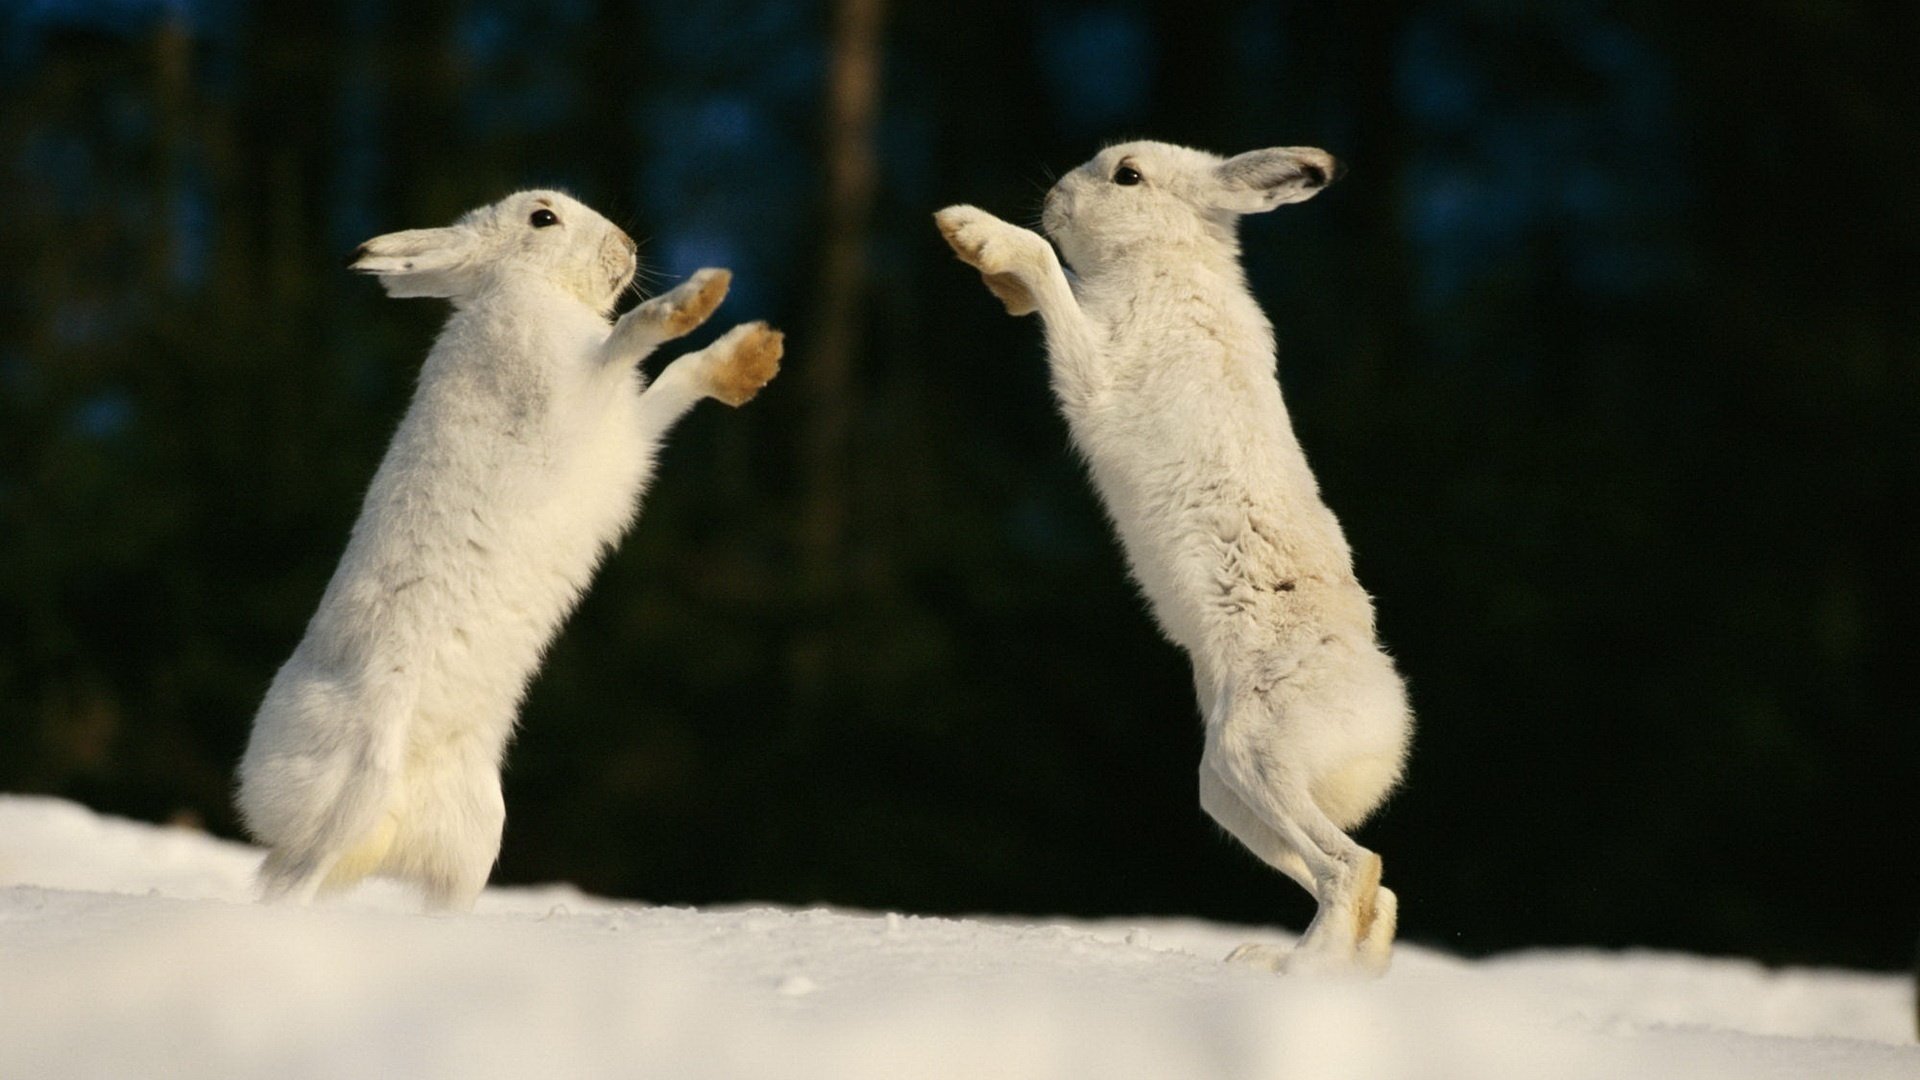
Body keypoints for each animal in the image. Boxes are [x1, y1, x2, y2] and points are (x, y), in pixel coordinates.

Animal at [236, 189, 783, 912]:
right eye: (543, 218)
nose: (626, 247)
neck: (524, 286)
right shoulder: (568, 397)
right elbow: (629, 337)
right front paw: (696, 298)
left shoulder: (626, 431)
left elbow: (674, 378)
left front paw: (753, 357)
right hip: (353, 787)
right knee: (293, 880)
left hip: (475, 832)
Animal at [936, 142, 1411, 975]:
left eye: (1127, 175)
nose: (1055, 201)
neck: (1168, 260)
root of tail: (1388, 724)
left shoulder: (1097, 369)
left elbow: (1050, 276)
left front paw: (978, 233)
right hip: (1229, 794)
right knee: (1368, 886)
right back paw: (1299, 968)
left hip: (1257, 755)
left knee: (1355, 870)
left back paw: (1295, 970)